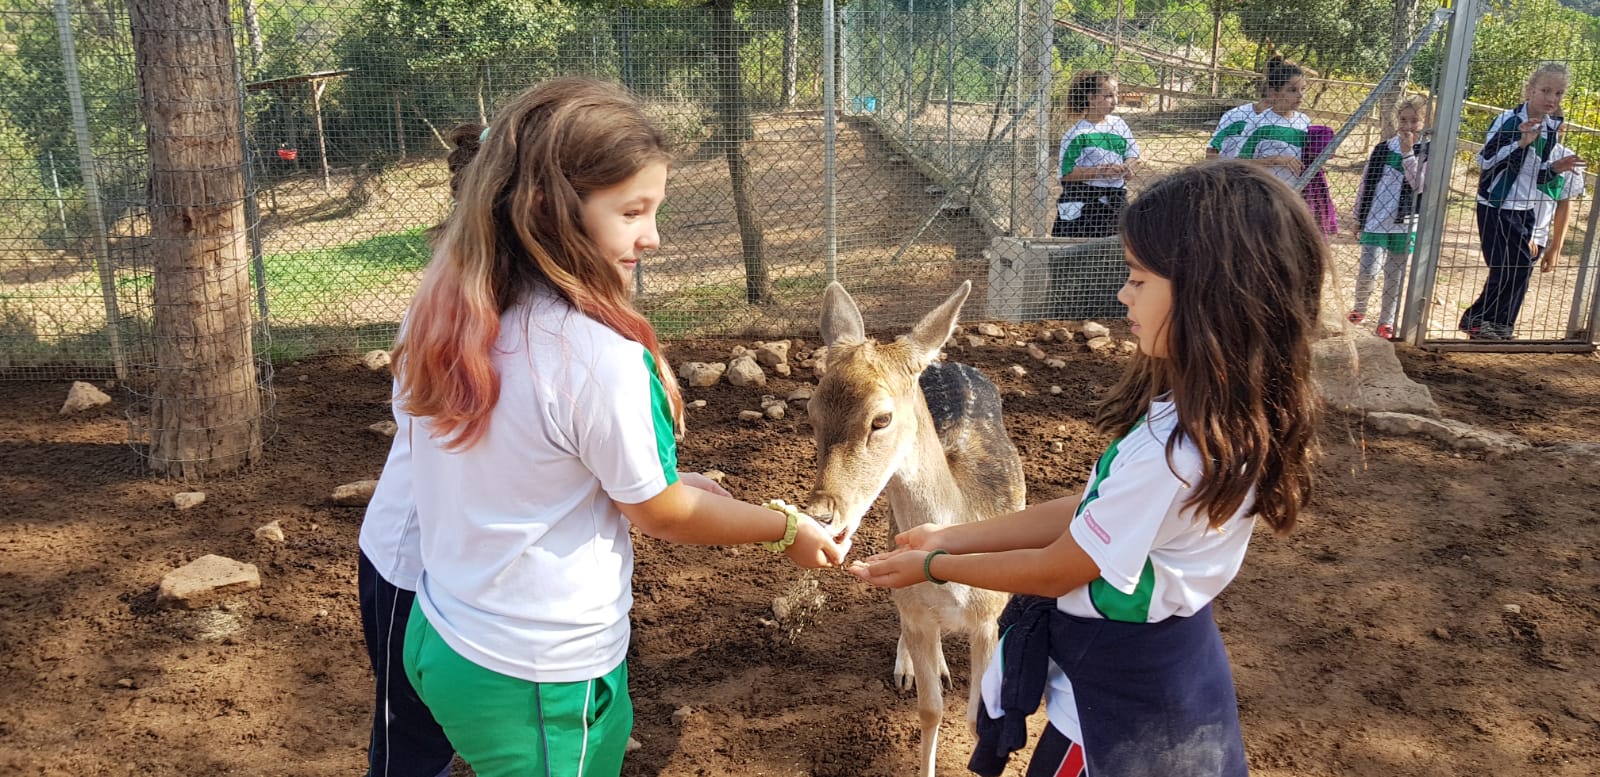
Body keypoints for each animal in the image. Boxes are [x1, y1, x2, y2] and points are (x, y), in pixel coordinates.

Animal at [800, 281, 1024, 777]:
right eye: (811, 411)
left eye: (880, 419)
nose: (822, 514)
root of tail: (945, 360)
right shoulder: (918, 610)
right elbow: (930, 710)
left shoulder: (990, 618)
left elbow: (976, 718)